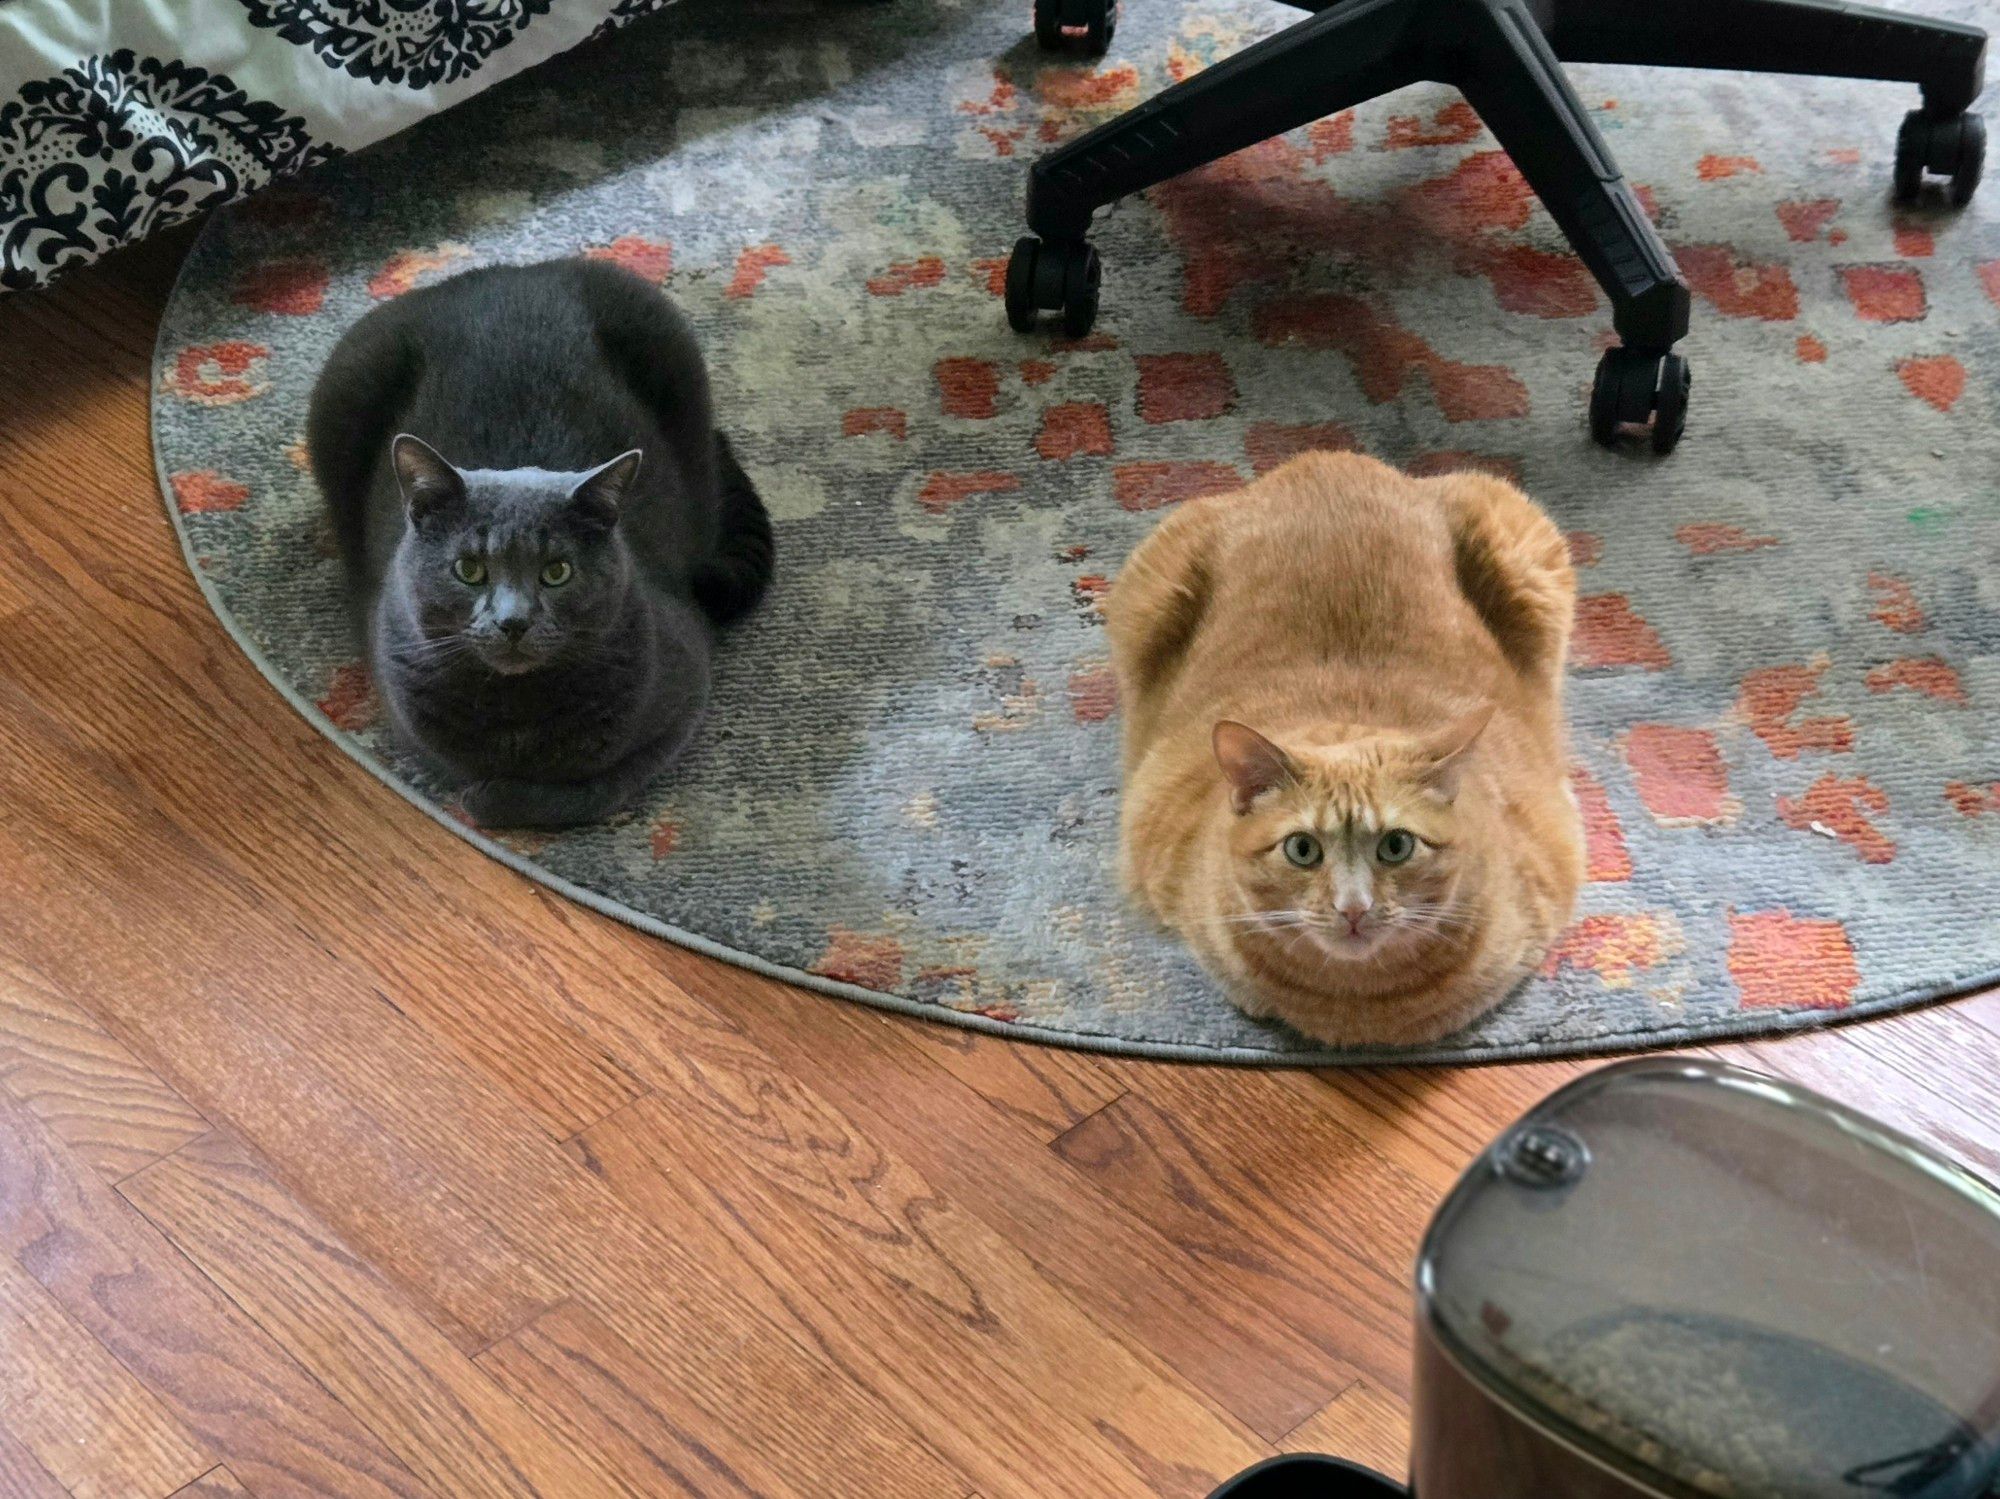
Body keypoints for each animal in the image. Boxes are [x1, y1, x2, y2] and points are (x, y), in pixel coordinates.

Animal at [308, 255, 768, 835]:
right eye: (469, 569)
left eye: (557, 572)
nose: (513, 621)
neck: (517, 709)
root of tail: (499, 272)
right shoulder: (400, 703)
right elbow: (451, 763)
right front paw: (483, 788)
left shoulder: (686, 684)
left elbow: (596, 789)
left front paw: (495, 796)